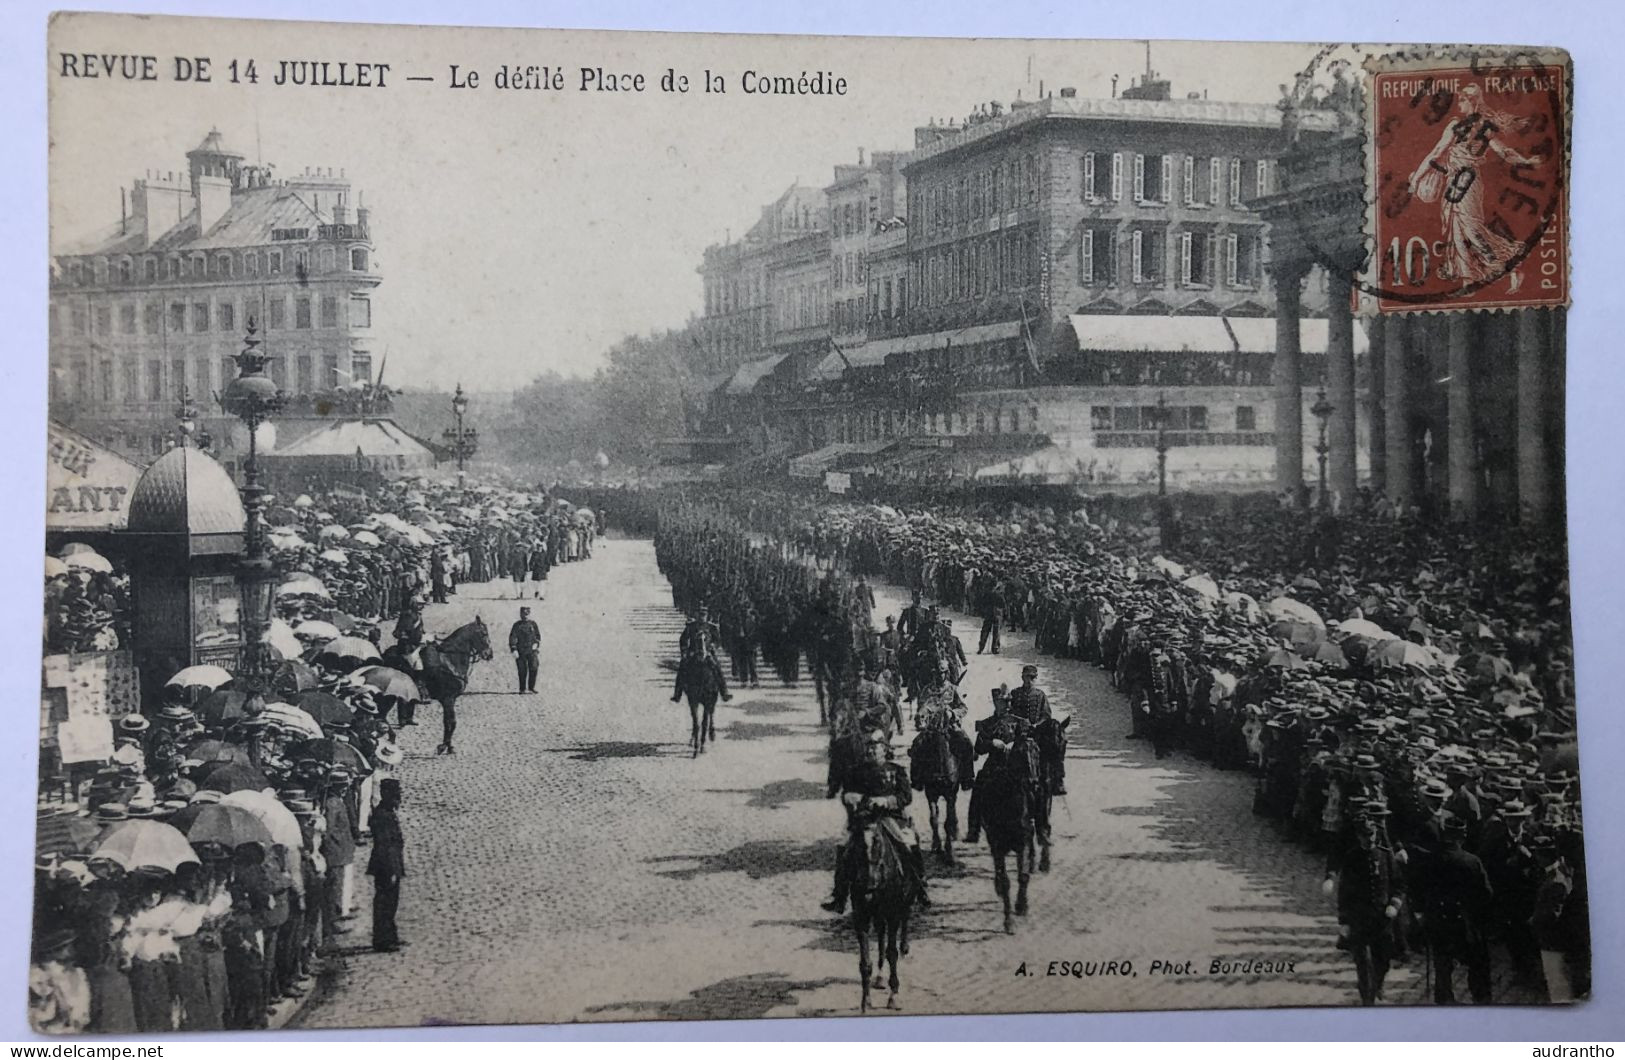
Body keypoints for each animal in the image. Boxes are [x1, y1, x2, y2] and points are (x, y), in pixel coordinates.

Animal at [416, 617, 490, 757]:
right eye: (484, 634)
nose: (489, 654)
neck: (450, 661)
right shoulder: (448, 699)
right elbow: (450, 722)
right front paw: (443, 746)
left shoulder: (451, 699)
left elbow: (450, 722)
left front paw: (449, 746)